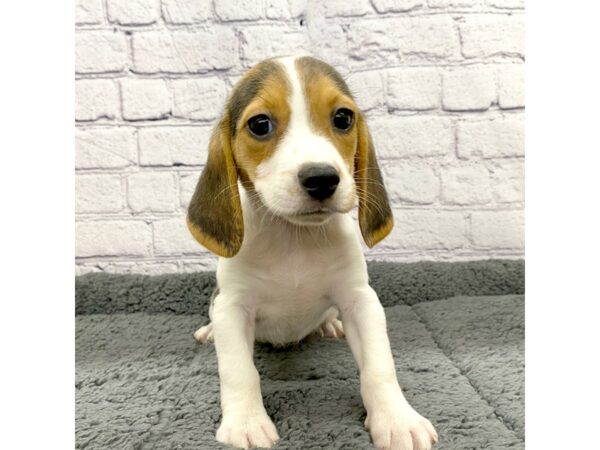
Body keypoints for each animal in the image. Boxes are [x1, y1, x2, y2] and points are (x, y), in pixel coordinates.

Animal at [186, 56, 436, 450]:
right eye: (260, 124)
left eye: (343, 118)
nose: (321, 178)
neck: (295, 238)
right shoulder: (233, 306)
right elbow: (239, 372)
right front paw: (246, 424)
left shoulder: (360, 300)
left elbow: (380, 366)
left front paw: (397, 420)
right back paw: (208, 332)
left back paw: (329, 324)